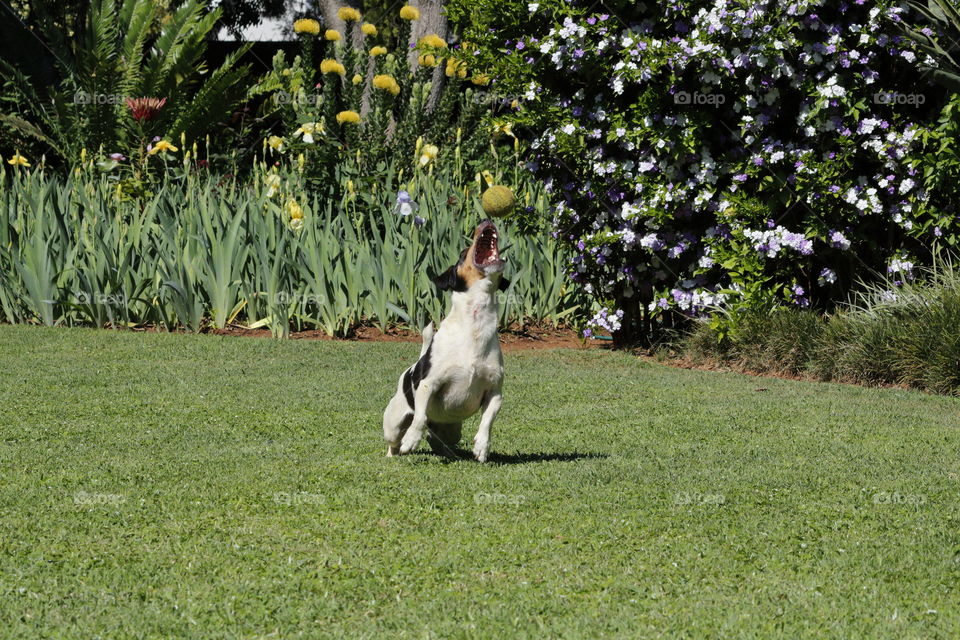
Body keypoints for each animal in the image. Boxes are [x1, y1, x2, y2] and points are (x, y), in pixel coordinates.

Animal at [382, 219, 510, 460]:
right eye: (462, 253)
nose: (485, 220)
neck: (474, 329)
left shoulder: (495, 392)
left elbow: (487, 421)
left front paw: (482, 446)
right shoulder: (428, 385)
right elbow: (420, 417)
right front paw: (412, 439)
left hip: (452, 430)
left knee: (435, 438)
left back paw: (448, 453)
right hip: (393, 425)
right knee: (399, 438)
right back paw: (396, 452)